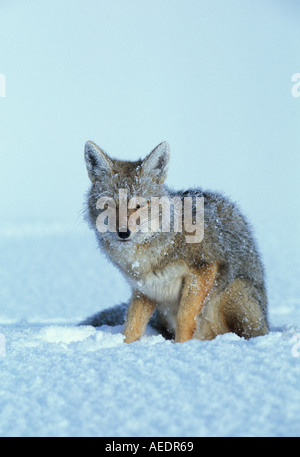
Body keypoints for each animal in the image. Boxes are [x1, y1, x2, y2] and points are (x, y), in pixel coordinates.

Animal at [82, 141, 268, 340]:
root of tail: (268, 323)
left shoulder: (204, 267)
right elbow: (131, 327)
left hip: (233, 293)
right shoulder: (145, 290)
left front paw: (181, 345)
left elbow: (185, 318)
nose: (123, 233)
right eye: (109, 205)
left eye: (139, 205)